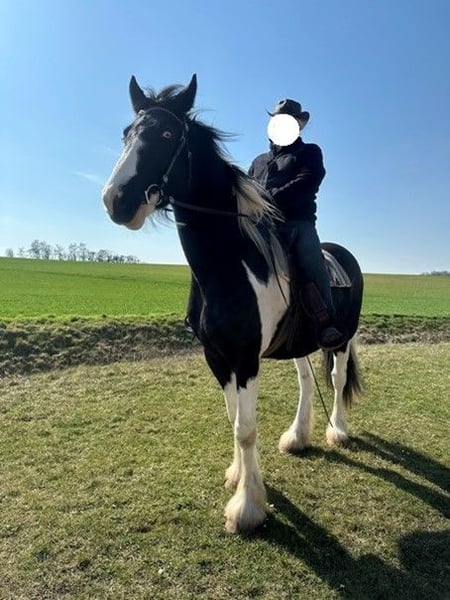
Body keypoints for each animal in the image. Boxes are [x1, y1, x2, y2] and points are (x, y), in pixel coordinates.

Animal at [102, 74, 364, 534]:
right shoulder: (216, 355)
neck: (227, 265)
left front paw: (247, 508)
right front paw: (237, 476)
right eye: (126, 133)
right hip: (301, 343)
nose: (116, 199)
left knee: (335, 378)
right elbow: (232, 418)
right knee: (306, 381)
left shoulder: (245, 358)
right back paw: (297, 437)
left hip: (343, 338)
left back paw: (338, 432)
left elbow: (246, 427)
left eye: (167, 134)